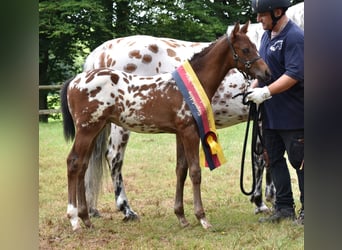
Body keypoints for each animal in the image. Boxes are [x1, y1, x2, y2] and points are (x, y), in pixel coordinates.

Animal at [60, 22, 272, 230]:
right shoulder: (190, 132)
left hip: (94, 130)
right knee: (78, 162)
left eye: (255, 46)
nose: (267, 72)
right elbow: (196, 172)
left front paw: (181, 216)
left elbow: (181, 170)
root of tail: (76, 80)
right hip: (90, 130)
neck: (191, 85)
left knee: (83, 165)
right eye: (245, 49)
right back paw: (78, 219)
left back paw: (86, 218)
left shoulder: (181, 133)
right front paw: (202, 218)